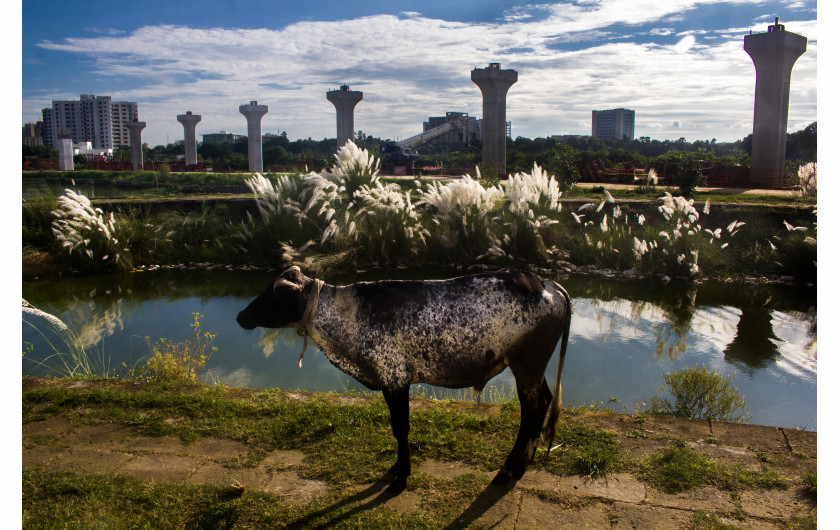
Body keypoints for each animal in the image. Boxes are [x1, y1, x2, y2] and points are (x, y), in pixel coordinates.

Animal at [236, 264, 572, 490]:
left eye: (274, 293)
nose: (240, 316)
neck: (347, 314)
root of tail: (547, 282)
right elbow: (396, 428)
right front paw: (397, 468)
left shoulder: (395, 379)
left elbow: (401, 428)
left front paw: (402, 475)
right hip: (531, 369)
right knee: (544, 401)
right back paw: (522, 463)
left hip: (527, 365)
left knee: (532, 410)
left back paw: (510, 469)